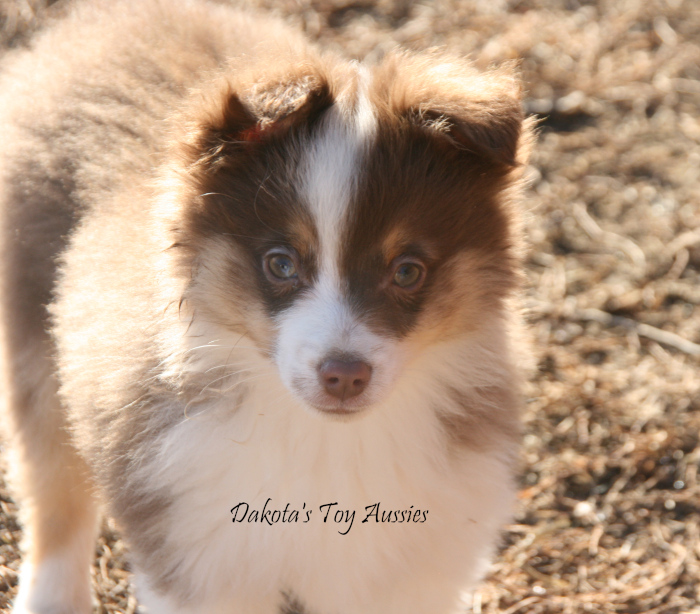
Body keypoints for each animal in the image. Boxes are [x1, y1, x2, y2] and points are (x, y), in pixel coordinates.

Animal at [0, 1, 532, 614]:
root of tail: (102, 22)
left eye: (407, 271)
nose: (343, 377)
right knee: (54, 492)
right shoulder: (201, 558)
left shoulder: (411, 573)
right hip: (35, 343)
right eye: (281, 264)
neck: (326, 443)